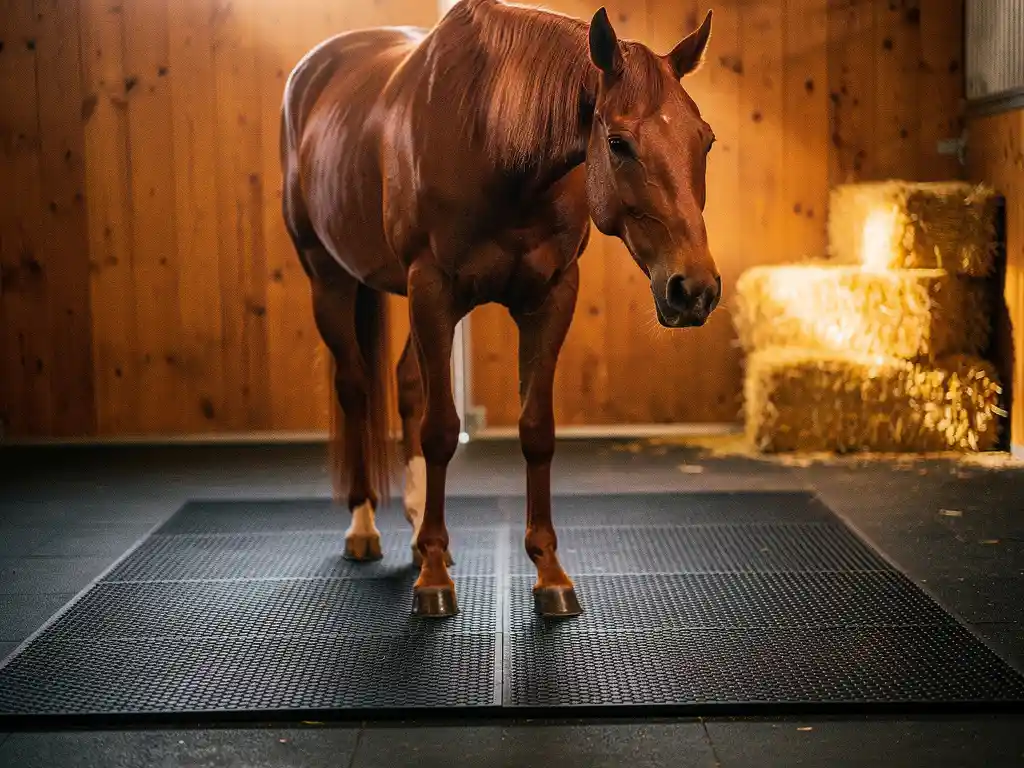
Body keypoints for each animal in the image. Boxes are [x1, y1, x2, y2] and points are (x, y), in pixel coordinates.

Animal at [280, 0, 720, 618]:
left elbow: (536, 430)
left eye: (705, 141)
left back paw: (415, 527)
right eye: (617, 142)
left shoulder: (552, 296)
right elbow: (442, 430)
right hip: (330, 280)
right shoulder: (433, 289)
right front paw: (434, 576)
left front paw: (548, 571)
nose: (694, 289)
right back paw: (364, 526)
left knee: (407, 384)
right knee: (357, 388)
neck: (487, 134)